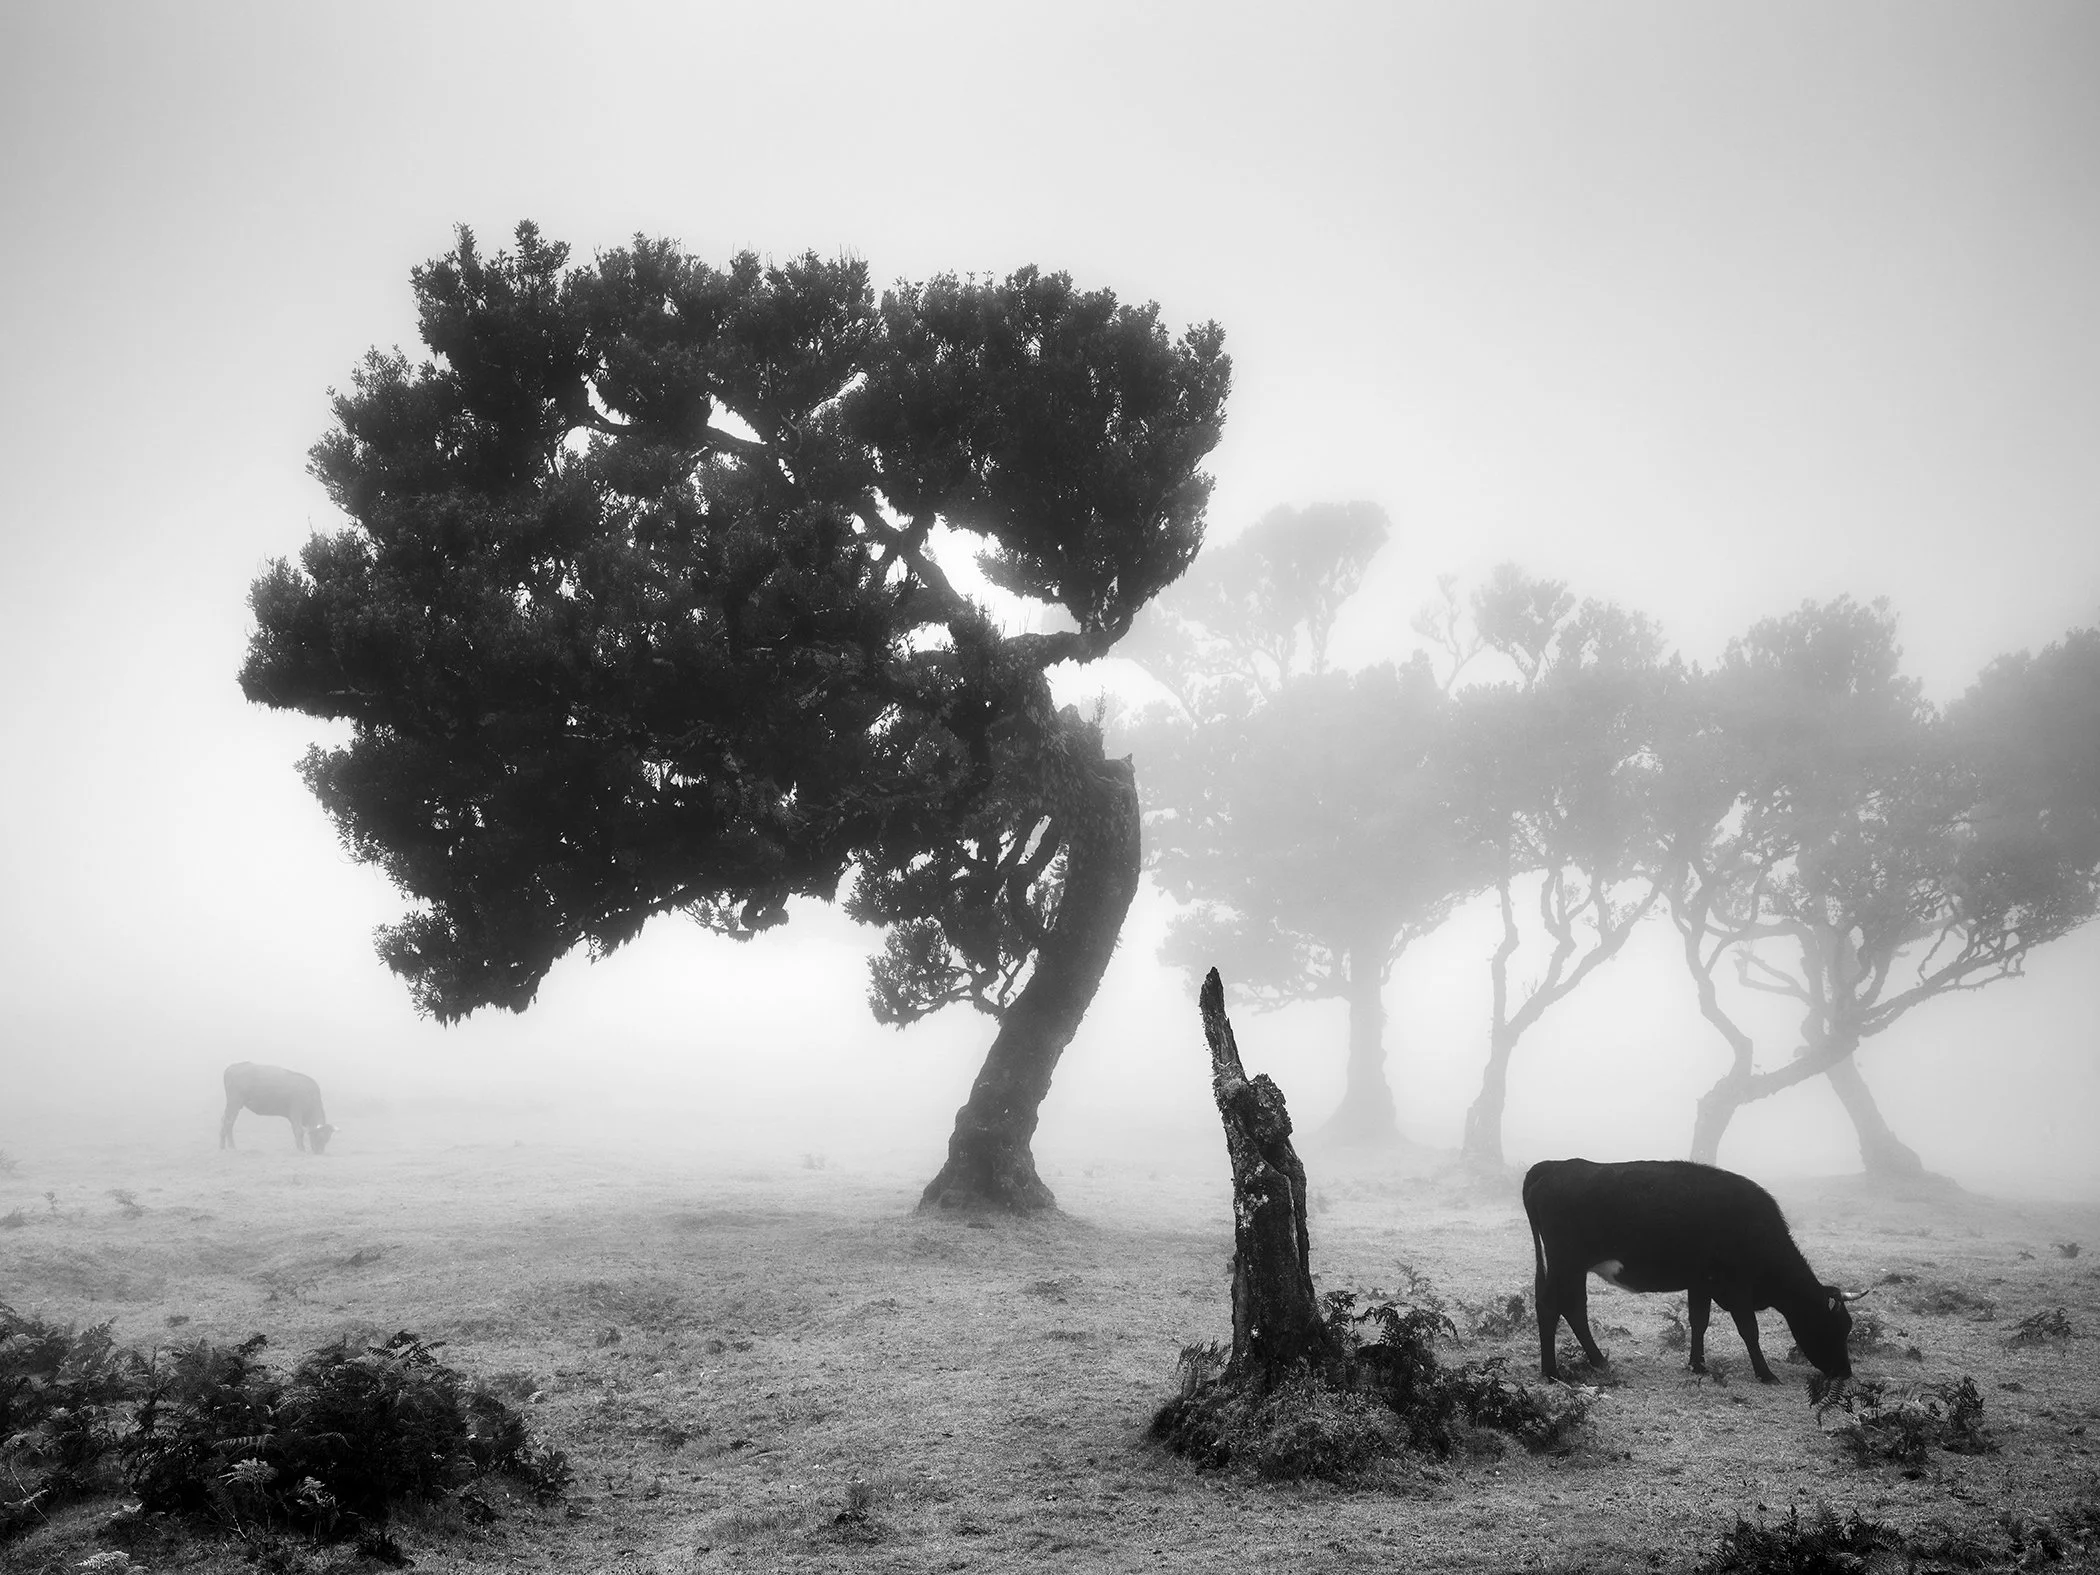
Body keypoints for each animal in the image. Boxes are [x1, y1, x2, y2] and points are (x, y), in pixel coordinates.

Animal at [1523, 1157, 1862, 1384]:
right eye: (1835, 1326)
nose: (1845, 1372)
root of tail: (1557, 1165)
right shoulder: (1736, 1287)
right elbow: (1749, 1330)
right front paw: (1766, 1374)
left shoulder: (1701, 1283)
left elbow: (1699, 1322)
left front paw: (1698, 1364)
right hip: (1565, 1262)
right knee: (1553, 1306)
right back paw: (1551, 1372)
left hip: (1571, 1267)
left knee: (1572, 1308)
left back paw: (1597, 1361)